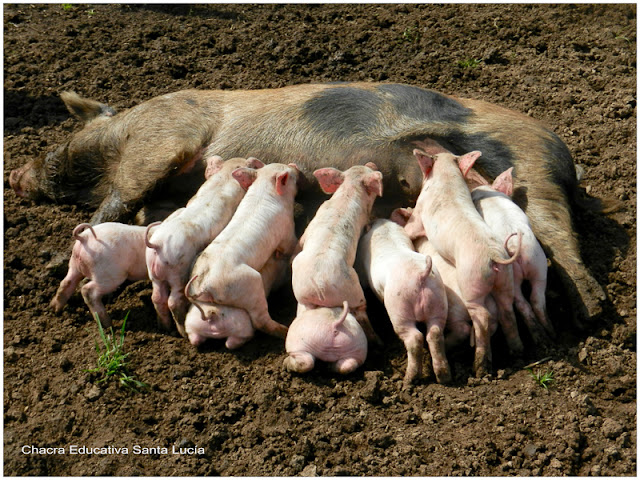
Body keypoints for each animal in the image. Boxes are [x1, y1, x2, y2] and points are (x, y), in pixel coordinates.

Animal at [7, 82, 604, 324]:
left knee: (562, 242)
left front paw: (56, 256)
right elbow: (144, 214)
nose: (15, 174)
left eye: (62, 140)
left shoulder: (164, 136)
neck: (121, 133)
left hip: (531, 170)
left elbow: (121, 196)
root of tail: (564, 155)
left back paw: (592, 313)